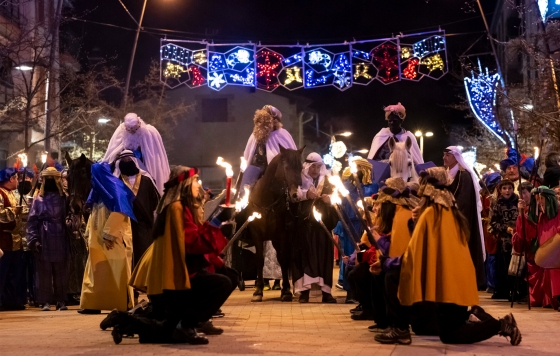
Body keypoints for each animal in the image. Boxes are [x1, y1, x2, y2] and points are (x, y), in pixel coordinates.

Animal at [245, 146, 304, 302]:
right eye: (286, 167)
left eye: (301, 168)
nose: (296, 195)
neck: (267, 201)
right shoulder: (256, 234)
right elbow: (260, 260)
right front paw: (258, 291)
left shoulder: (283, 234)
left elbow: (284, 260)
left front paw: (286, 291)